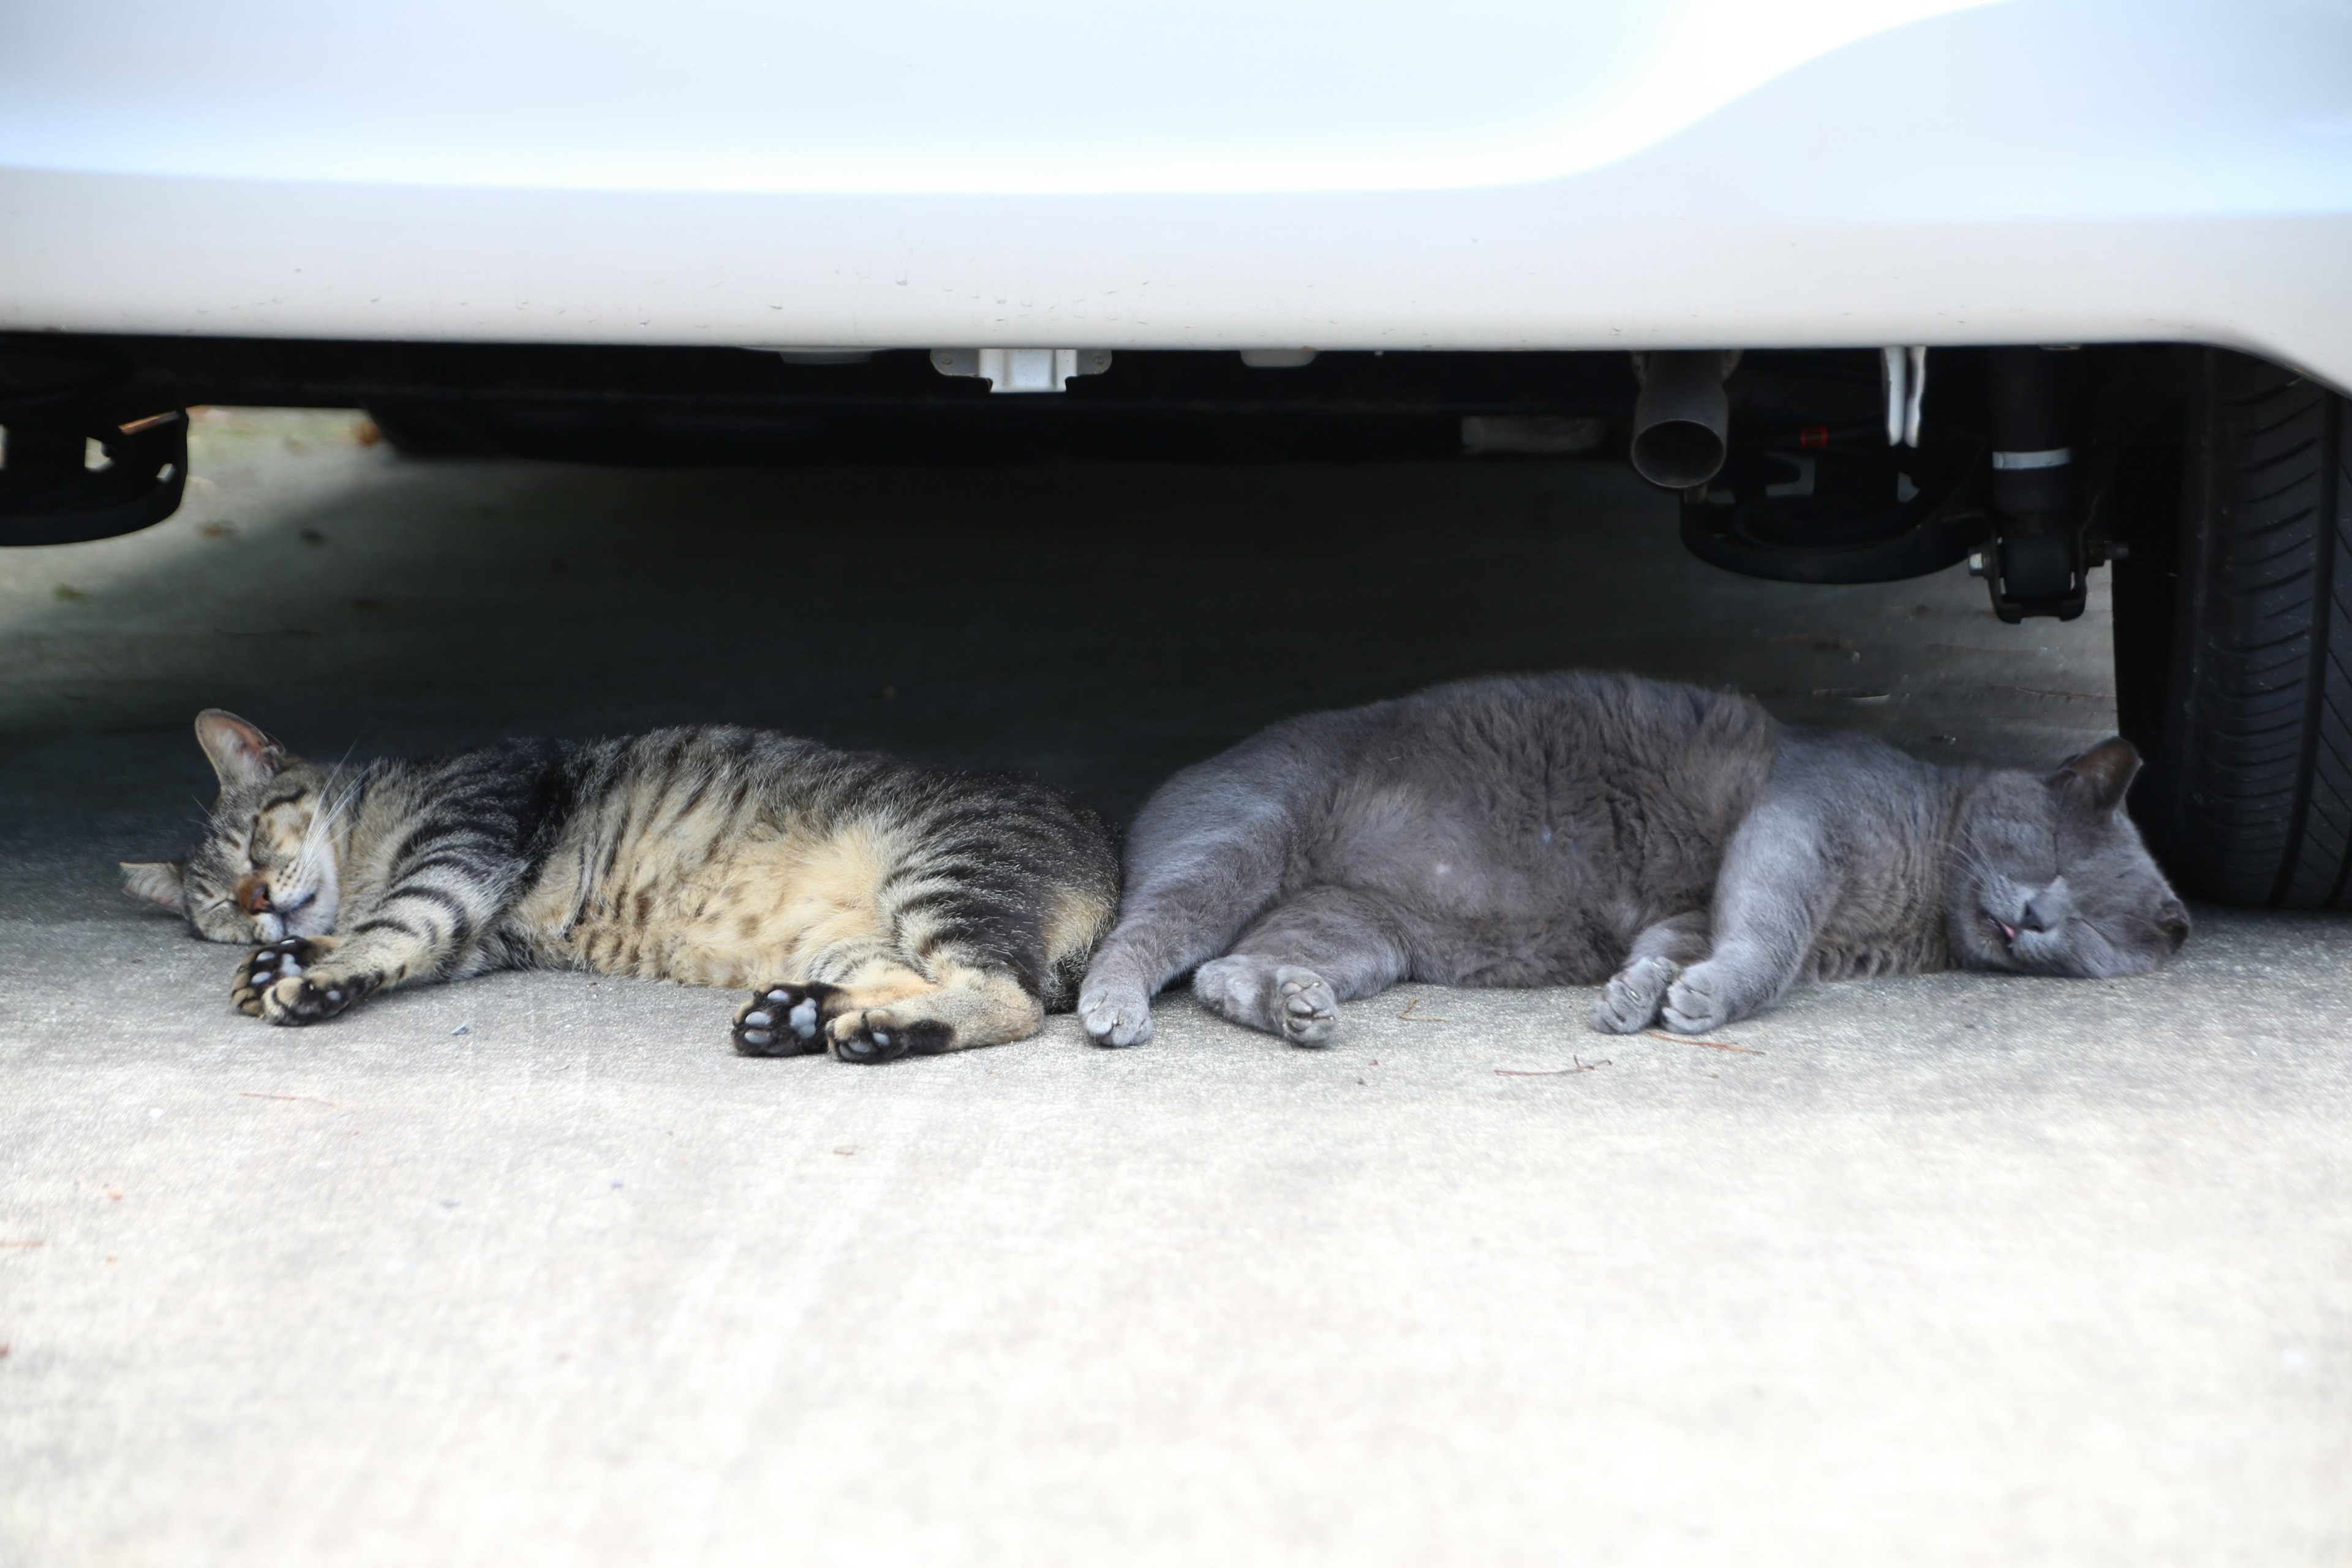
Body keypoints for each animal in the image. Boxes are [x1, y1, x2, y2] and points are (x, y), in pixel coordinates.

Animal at [121, 714, 1119, 1067]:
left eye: (254, 839)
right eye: (216, 907)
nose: (257, 901)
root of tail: (1110, 865)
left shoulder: (463, 846)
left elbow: (394, 928)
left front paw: (310, 975)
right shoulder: (475, 931)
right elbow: (395, 940)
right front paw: (286, 956)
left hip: (941, 875)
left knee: (1006, 997)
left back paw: (872, 1032)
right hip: (857, 937)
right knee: (924, 980)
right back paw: (802, 1016)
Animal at [1077, 668, 2192, 1048]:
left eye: (2094, 931)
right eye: (2052, 856)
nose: (2037, 916)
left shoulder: (1694, 905)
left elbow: (1679, 943)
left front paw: (1639, 998)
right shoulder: (1798, 824)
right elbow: (1770, 940)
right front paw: (1698, 1003)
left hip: (1359, 929)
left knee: (1230, 970)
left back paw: (1299, 1009)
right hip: (1244, 840)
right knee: (1142, 938)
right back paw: (1116, 1010)